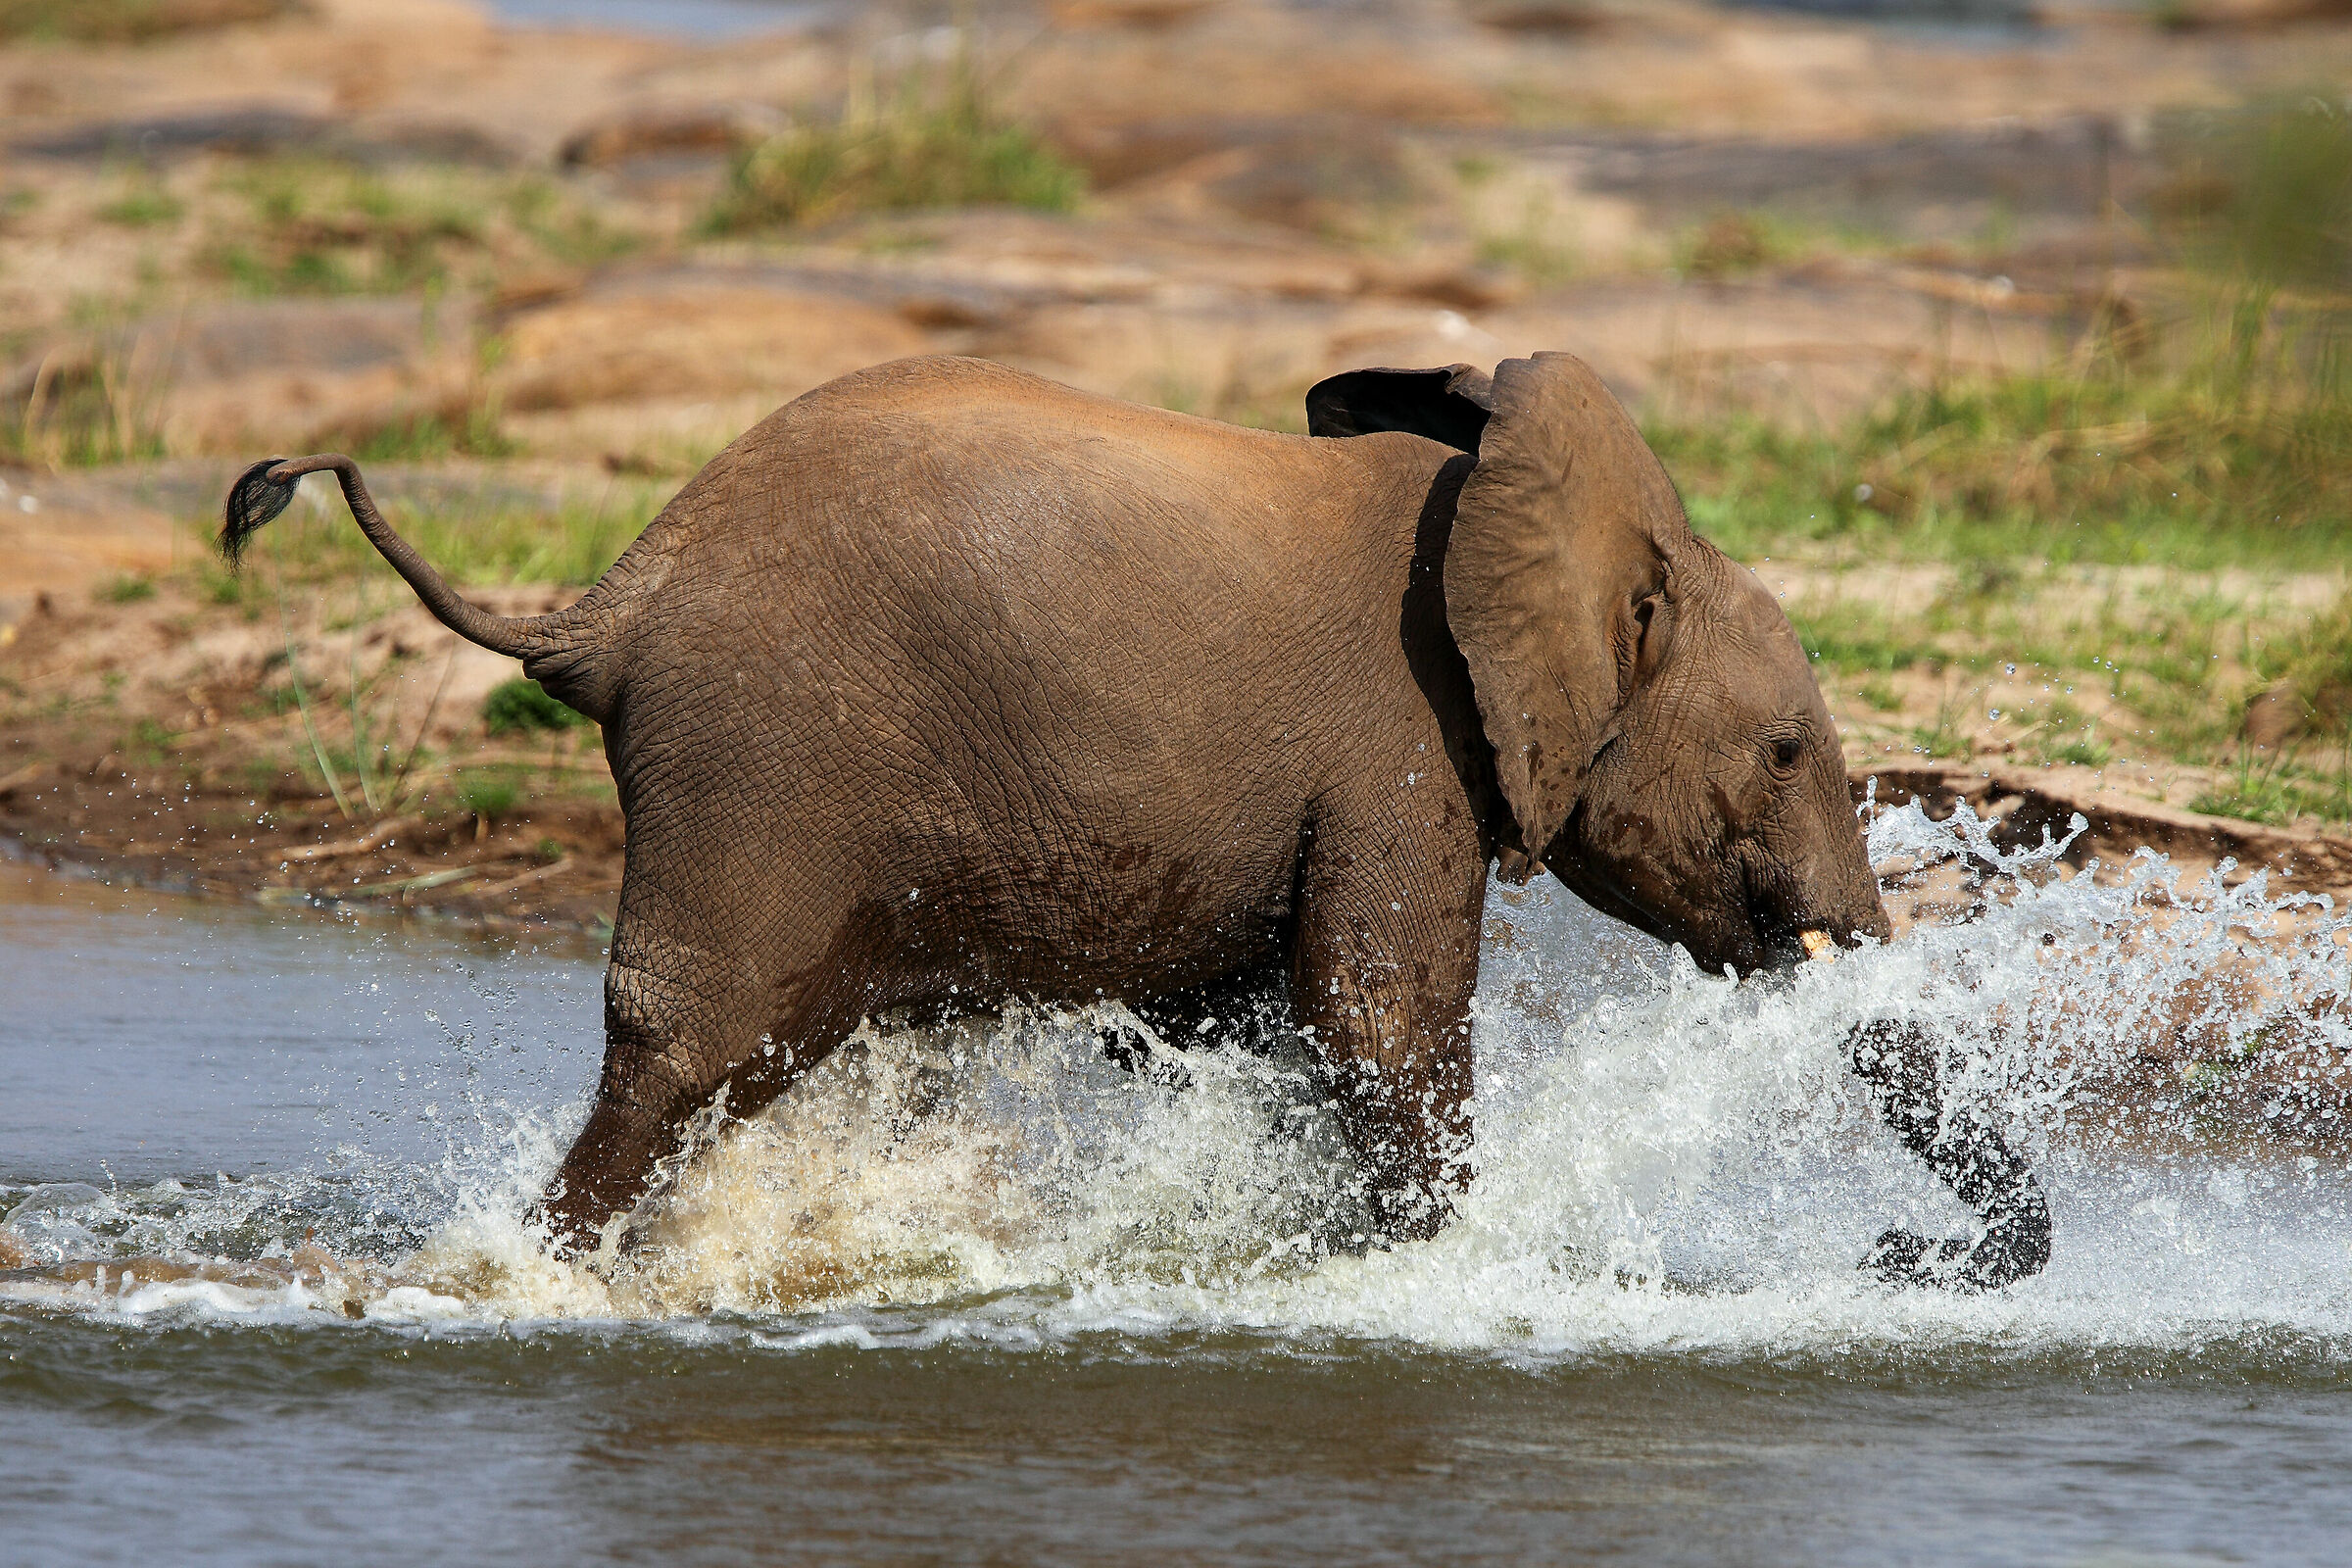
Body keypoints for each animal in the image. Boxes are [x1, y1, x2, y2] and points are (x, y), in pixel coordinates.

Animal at [220, 351, 2049, 1289]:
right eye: (1790, 752)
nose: (1898, 1252)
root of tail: (610, 601)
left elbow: (1281, 1030)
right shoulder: (1400, 736)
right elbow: (1375, 1019)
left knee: (780, 1050)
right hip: (760, 760)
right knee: (695, 1039)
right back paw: (530, 1279)